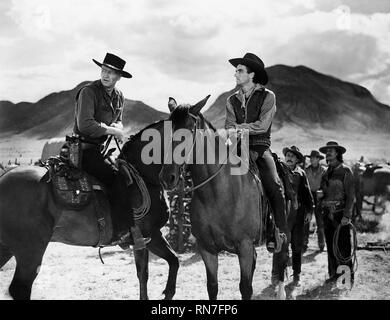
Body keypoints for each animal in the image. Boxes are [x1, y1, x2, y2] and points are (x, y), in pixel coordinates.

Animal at [0, 120, 179, 300]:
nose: (170, 178)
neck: (143, 176)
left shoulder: (146, 238)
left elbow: (159, 267)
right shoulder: (149, 234)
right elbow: (159, 267)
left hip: (7, 247)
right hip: (31, 249)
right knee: (20, 288)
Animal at [160, 96, 276, 298]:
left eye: (190, 130)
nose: (168, 177)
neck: (218, 195)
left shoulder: (245, 247)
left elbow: (246, 288)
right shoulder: (207, 249)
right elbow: (212, 286)